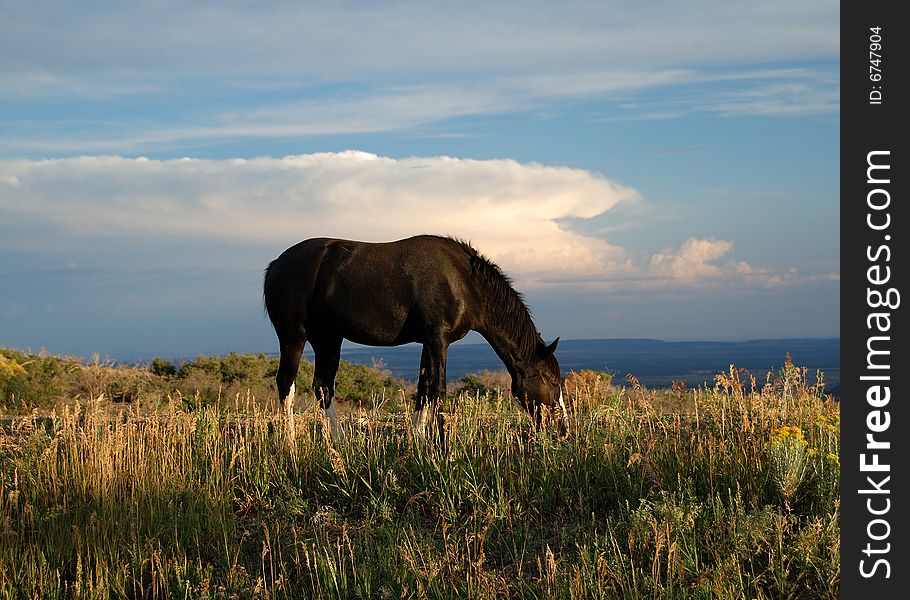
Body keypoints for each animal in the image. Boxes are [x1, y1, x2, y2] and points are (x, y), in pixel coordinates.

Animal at [260, 236, 568, 440]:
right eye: (553, 382)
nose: (563, 429)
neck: (463, 282)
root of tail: (276, 264)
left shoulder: (428, 342)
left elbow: (424, 388)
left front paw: (416, 440)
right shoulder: (438, 338)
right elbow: (438, 388)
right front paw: (441, 442)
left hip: (328, 339)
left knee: (323, 386)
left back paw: (338, 442)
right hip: (293, 338)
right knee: (287, 384)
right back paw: (289, 442)